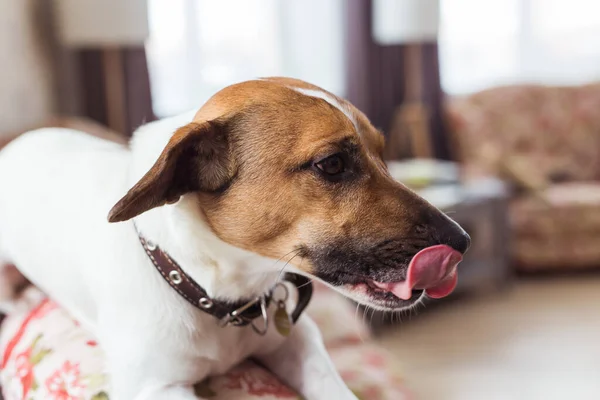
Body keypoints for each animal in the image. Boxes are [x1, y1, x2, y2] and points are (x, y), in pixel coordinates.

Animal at [0, 76, 468, 398]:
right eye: (332, 163)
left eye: (383, 155)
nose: (462, 241)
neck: (221, 295)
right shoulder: (154, 386)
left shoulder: (299, 342)